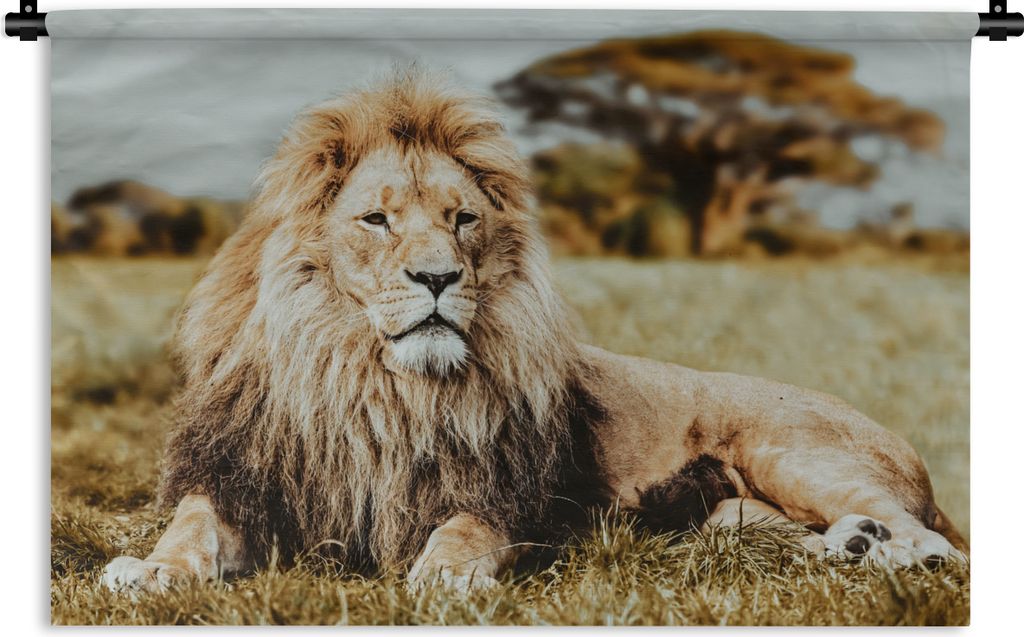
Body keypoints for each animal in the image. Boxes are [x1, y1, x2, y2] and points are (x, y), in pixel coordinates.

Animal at [102, 72, 967, 594]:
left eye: (462, 219)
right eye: (376, 219)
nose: (439, 277)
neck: (372, 382)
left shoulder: (503, 496)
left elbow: (462, 531)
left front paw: (443, 578)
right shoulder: (242, 478)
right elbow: (189, 528)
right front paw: (147, 571)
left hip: (791, 449)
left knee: (937, 540)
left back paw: (901, 550)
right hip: (730, 516)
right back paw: (853, 547)